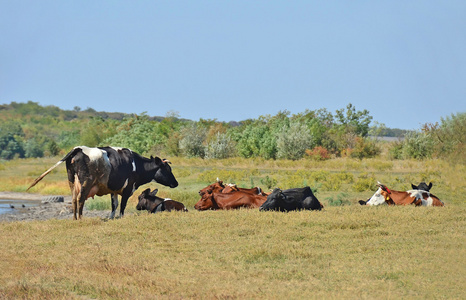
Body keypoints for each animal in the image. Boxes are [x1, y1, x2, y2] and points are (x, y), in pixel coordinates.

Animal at [26, 146, 178, 219]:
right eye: (167, 169)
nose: (176, 183)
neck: (137, 164)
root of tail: (78, 148)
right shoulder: (127, 188)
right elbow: (122, 205)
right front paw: (121, 217)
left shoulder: (114, 189)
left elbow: (114, 204)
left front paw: (111, 217)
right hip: (86, 182)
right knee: (81, 199)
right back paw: (80, 218)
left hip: (72, 182)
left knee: (74, 199)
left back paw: (74, 218)